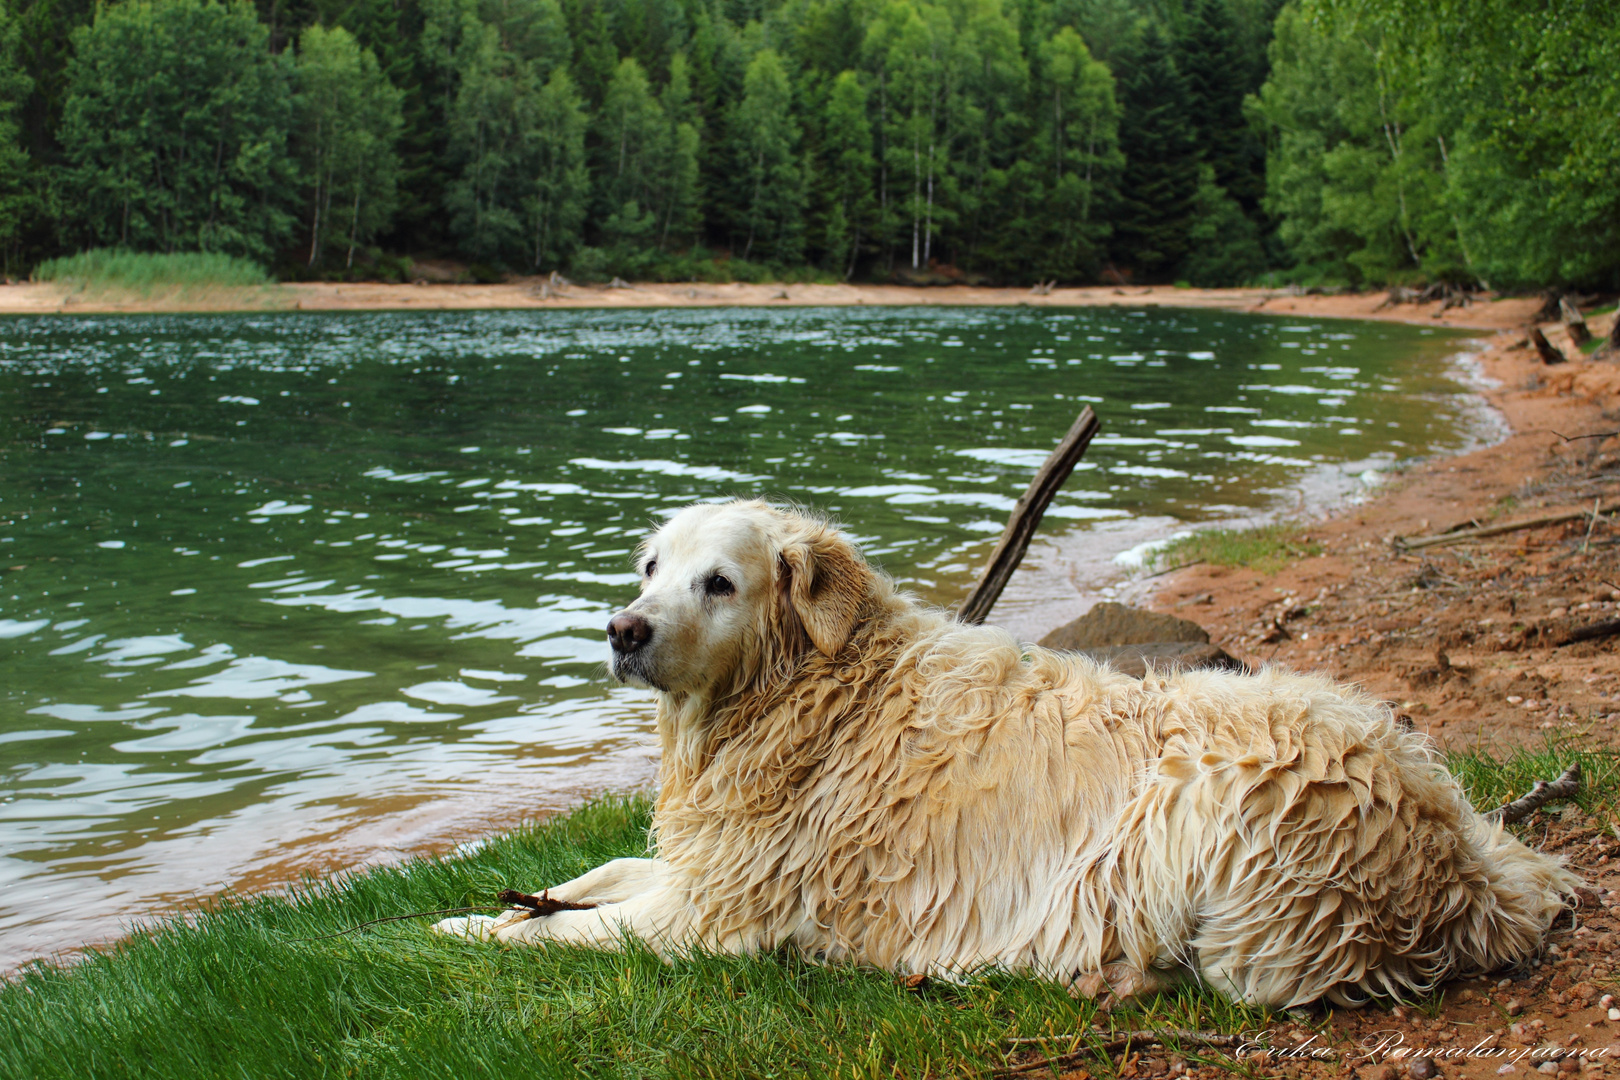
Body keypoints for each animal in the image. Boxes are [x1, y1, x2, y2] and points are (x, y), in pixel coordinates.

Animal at [437, 501, 1574, 1010]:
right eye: (649, 566)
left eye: (719, 582)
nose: (621, 629)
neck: (807, 693)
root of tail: (1469, 872)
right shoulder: (702, 870)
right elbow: (599, 874)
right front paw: (502, 903)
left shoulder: (715, 922)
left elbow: (575, 931)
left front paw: (467, 931)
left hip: (1207, 808)